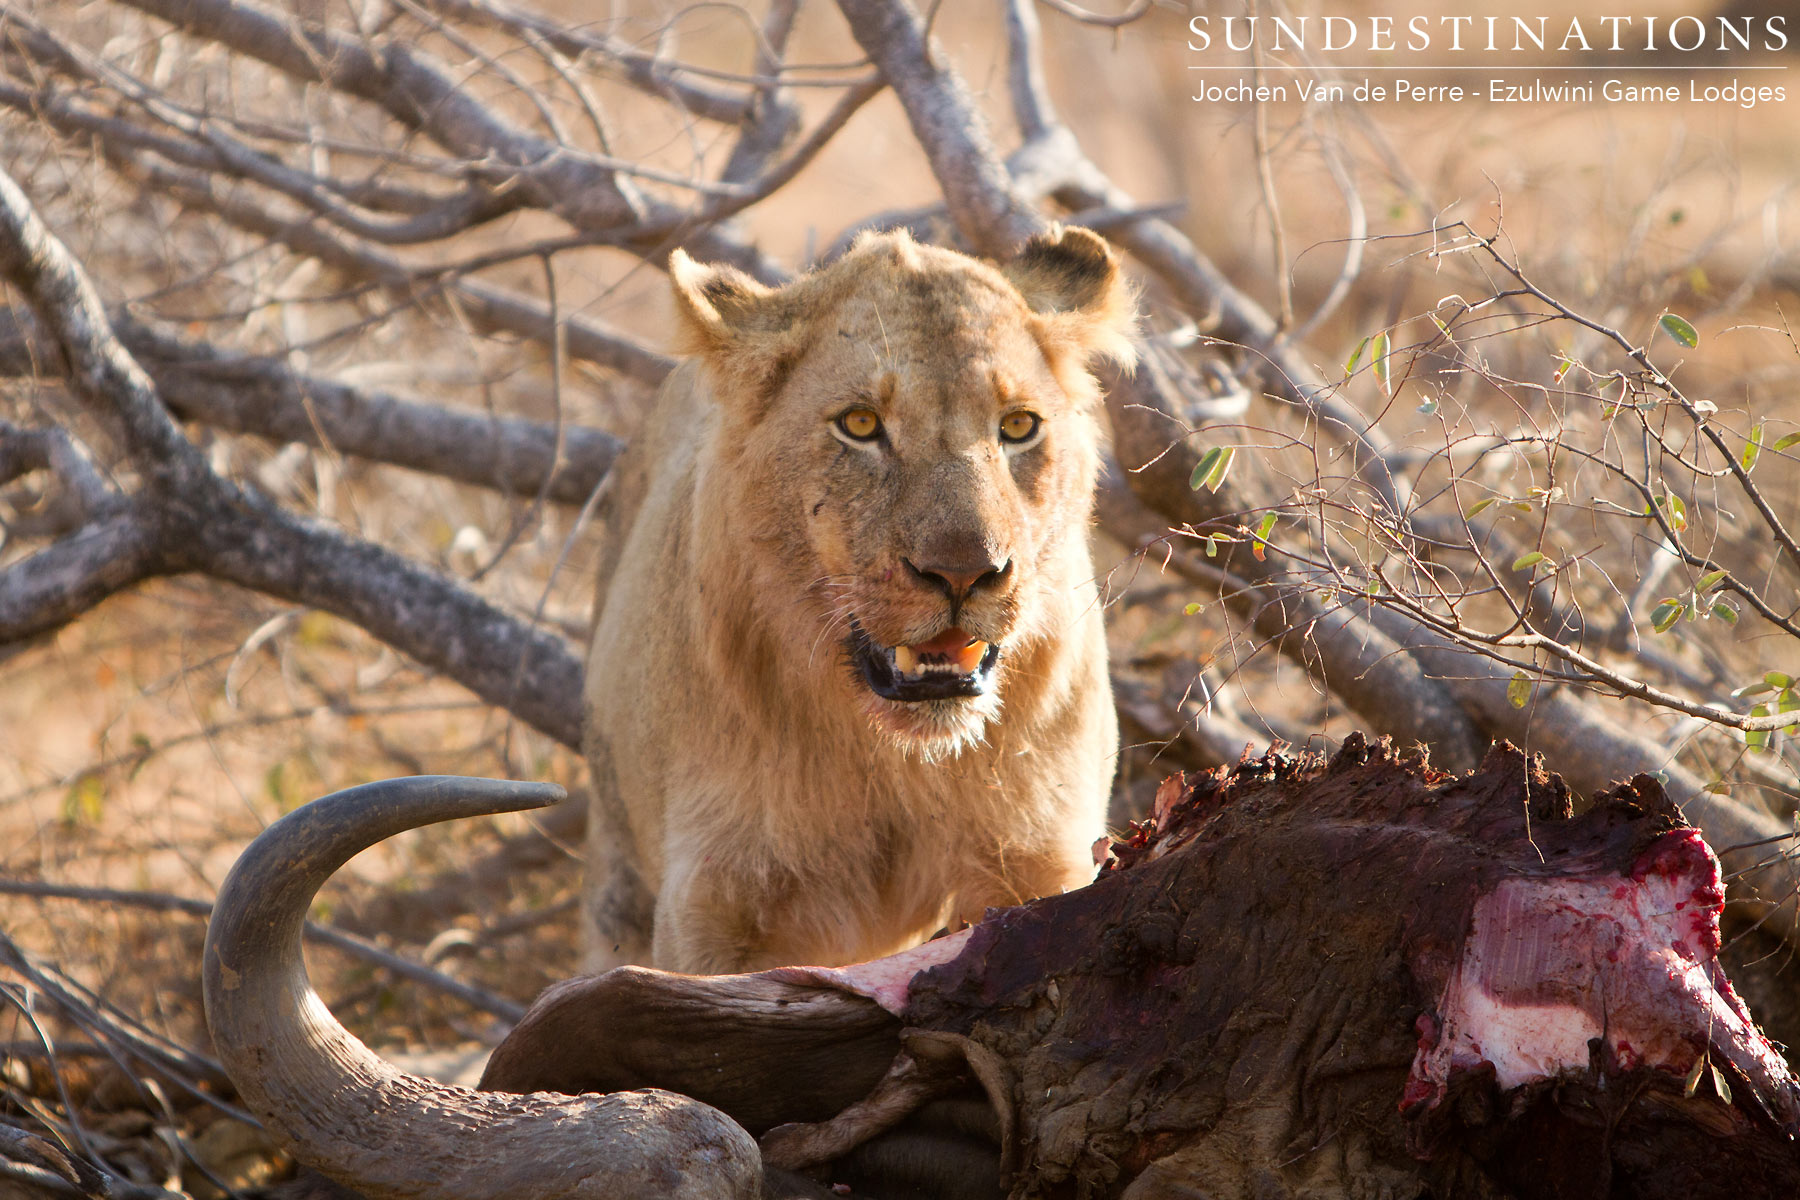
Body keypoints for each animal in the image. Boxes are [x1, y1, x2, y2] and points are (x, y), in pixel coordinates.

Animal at [583, 224, 1130, 978]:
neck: (890, 764)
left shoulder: (1038, 860)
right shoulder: (710, 910)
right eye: (862, 424)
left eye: (1019, 426)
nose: (964, 573)